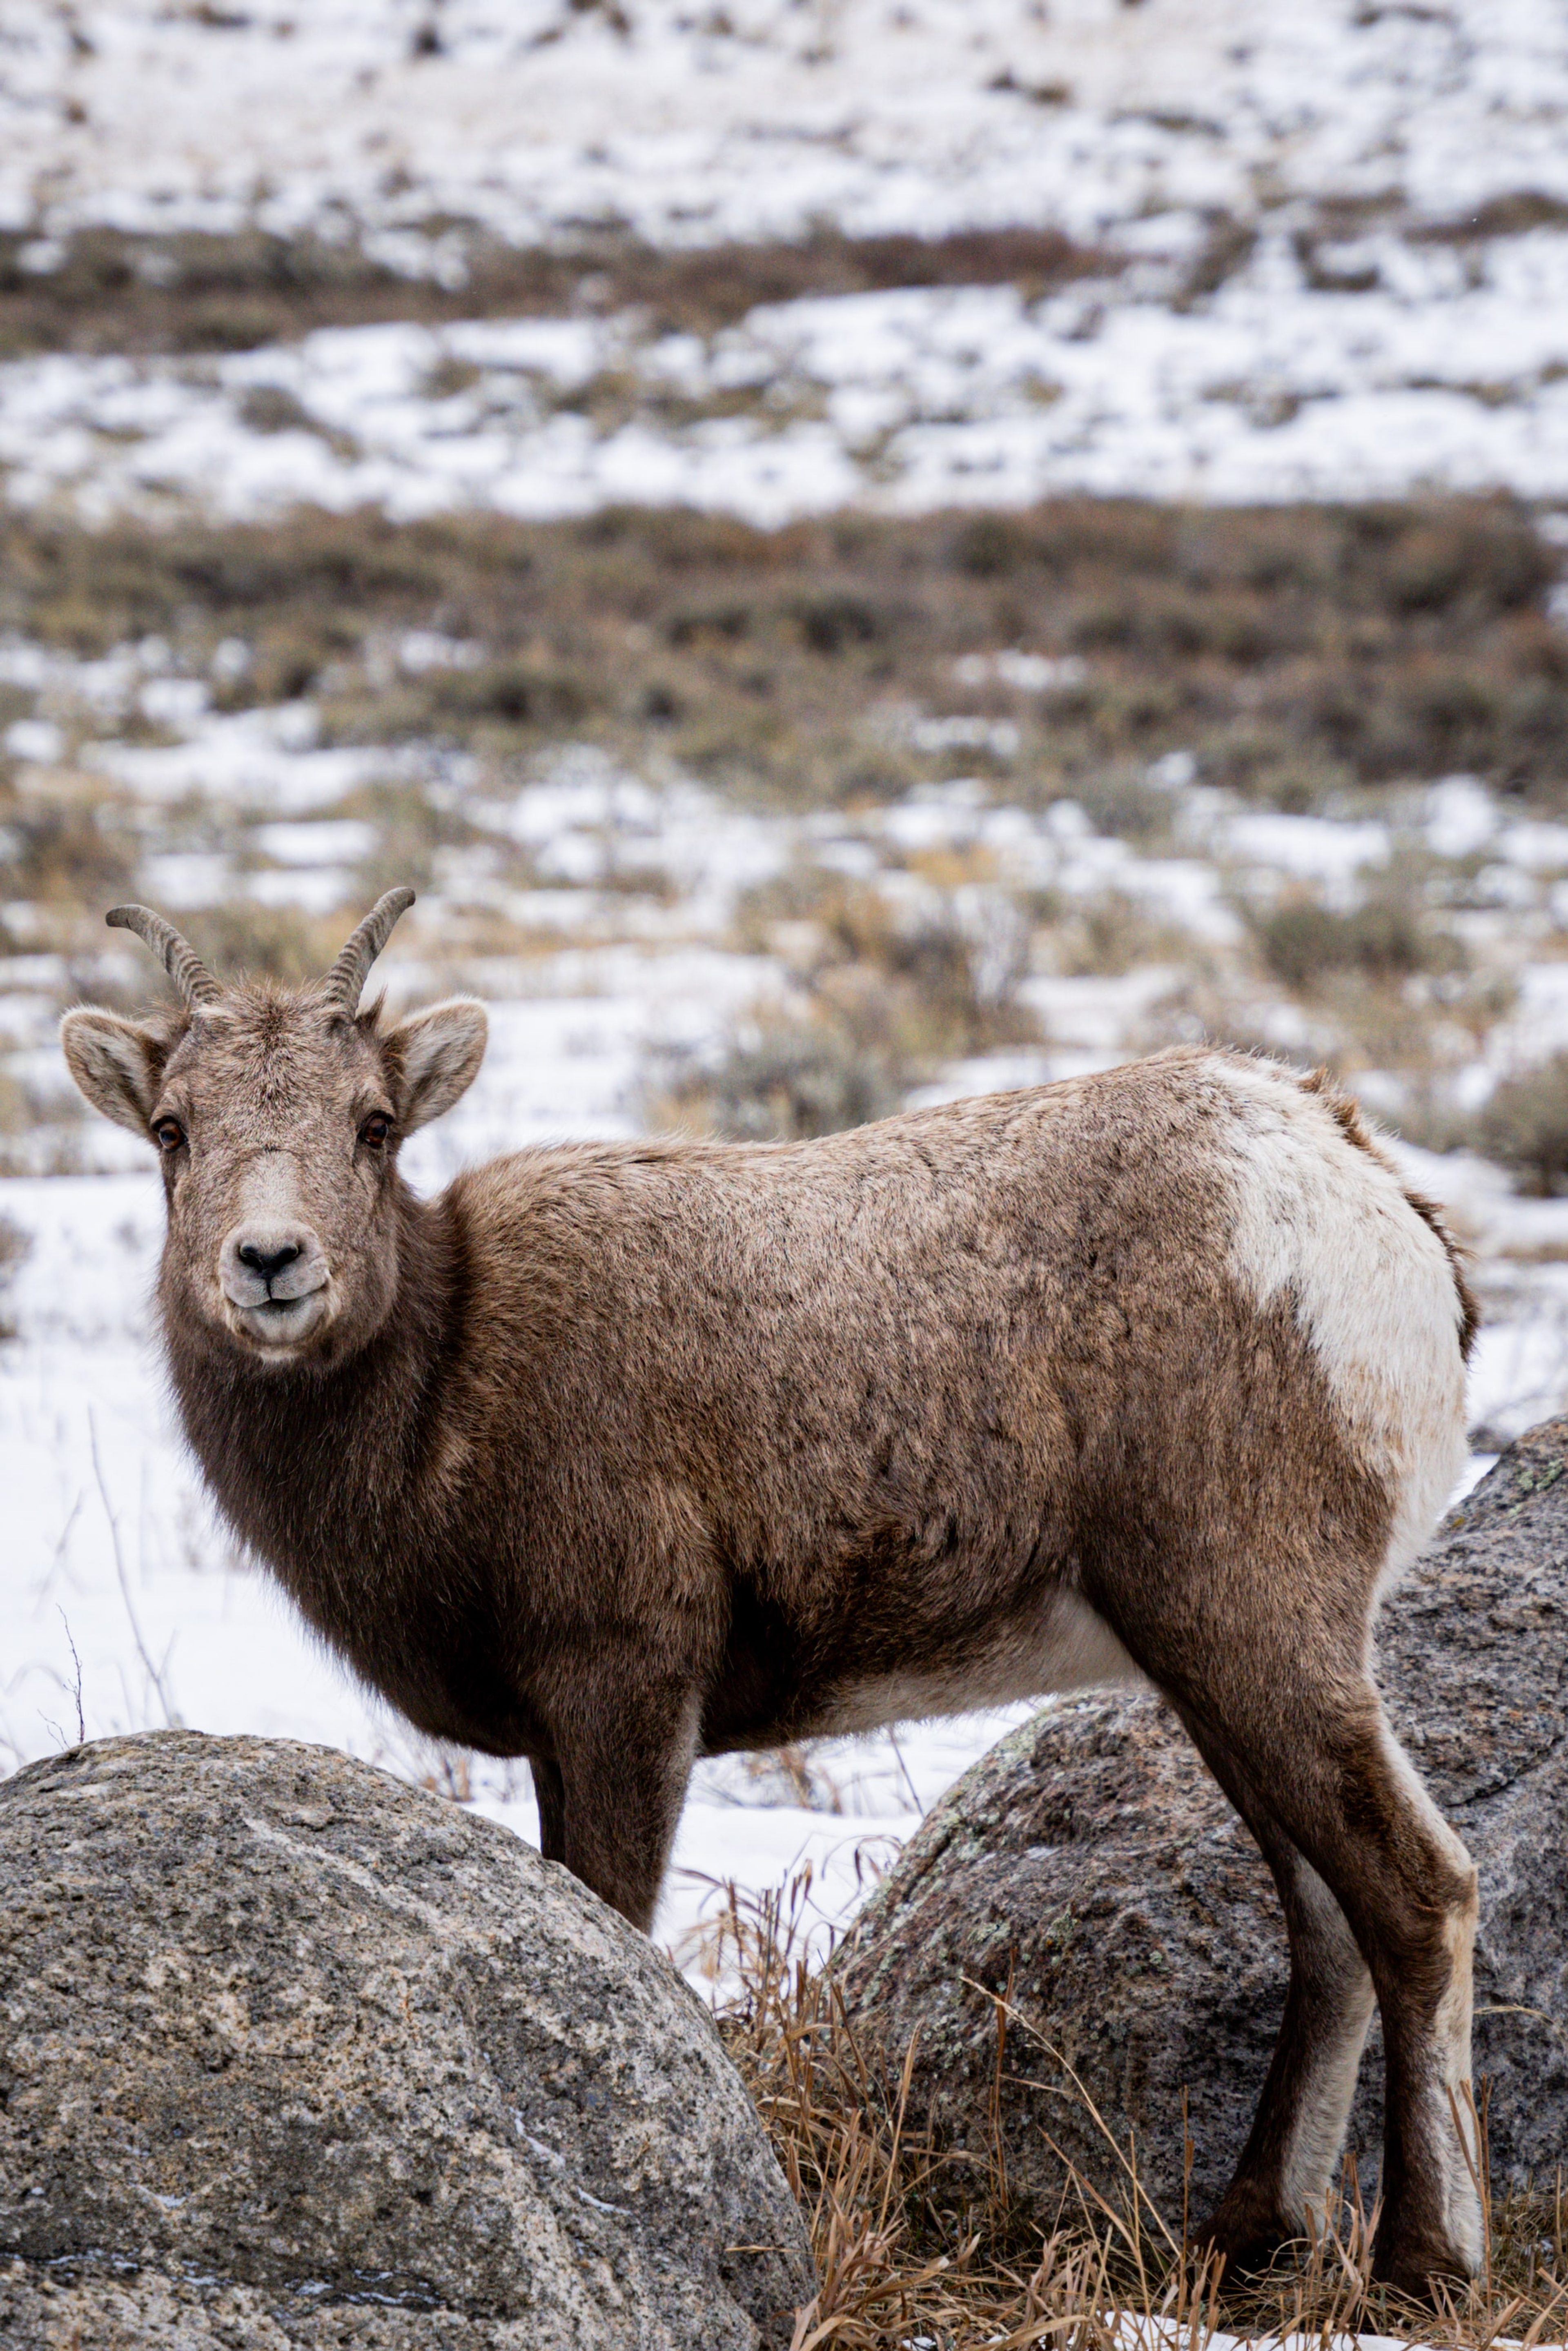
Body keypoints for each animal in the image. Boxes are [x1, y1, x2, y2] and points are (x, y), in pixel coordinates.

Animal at [62, 888, 1482, 2295]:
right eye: (174, 1128)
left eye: (372, 1121)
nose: (270, 1261)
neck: (444, 1390)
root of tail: (1366, 1195)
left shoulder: (626, 1686)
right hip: (1211, 1667)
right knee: (1325, 1918)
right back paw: (1246, 2238)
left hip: (1251, 1625)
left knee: (1417, 1891)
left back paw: (1422, 2262)